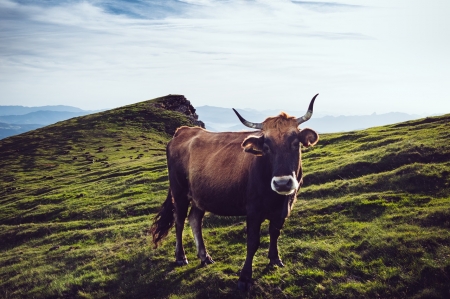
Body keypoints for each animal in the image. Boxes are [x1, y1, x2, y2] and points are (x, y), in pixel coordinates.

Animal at [151, 94, 320, 290]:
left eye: (295, 143)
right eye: (267, 147)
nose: (282, 183)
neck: (276, 199)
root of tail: (183, 131)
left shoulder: (284, 208)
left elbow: (275, 233)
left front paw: (275, 260)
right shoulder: (253, 210)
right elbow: (253, 242)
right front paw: (245, 277)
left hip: (200, 196)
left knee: (194, 219)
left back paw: (204, 256)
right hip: (179, 192)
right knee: (179, 221)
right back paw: (180, 257)